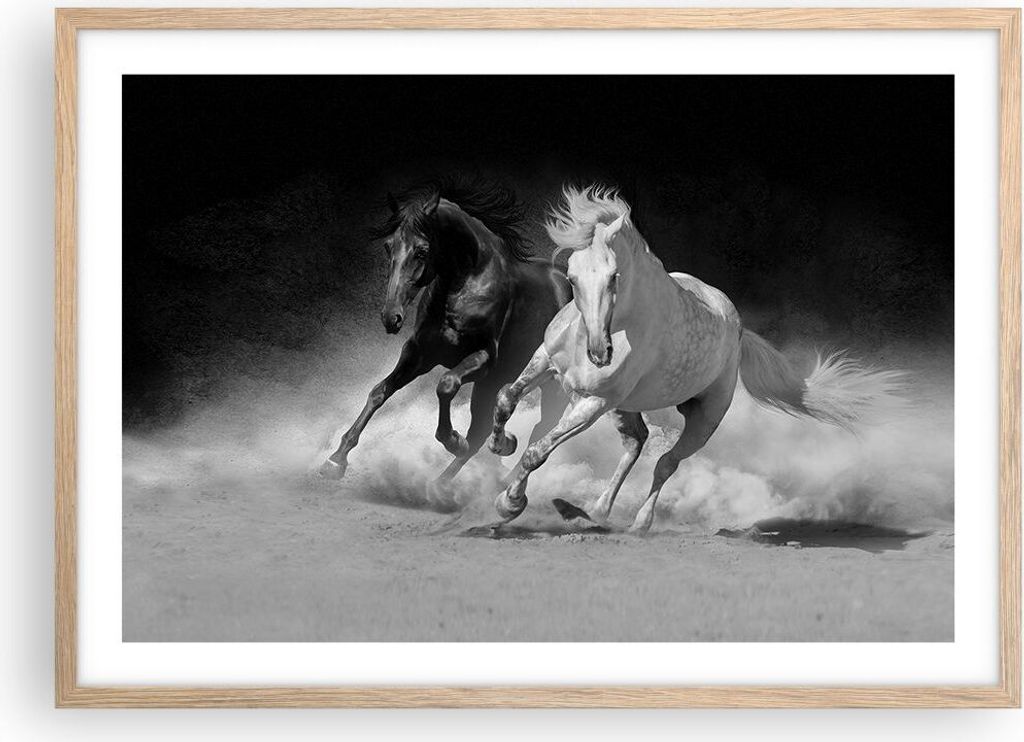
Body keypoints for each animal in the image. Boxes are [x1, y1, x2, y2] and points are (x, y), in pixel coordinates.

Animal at [319, 179, 571, 496]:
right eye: (389, 246)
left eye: (422, 251)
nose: (391, 317)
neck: (468, 283)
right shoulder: (419, 353)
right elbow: (379, 392)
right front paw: (335, 460)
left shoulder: (484, 358)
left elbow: (446, 384)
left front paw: (453, 440)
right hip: (495, 382)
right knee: (485, 431)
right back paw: (453, 480)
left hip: (547, 384)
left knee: (540, 426)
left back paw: (494, 481)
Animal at [487, 185, 905, 533]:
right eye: (572, 278)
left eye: (614, 276)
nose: (599, 353)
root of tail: (738, 331)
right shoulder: (546, 361)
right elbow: (506, 396)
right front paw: (501, 444)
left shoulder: (593, 402)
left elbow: (538, 452)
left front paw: (510, 503)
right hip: (627, 405)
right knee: (637, 442)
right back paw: (595, 510)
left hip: (703, 417)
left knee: (665, 462)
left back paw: (636, 522)